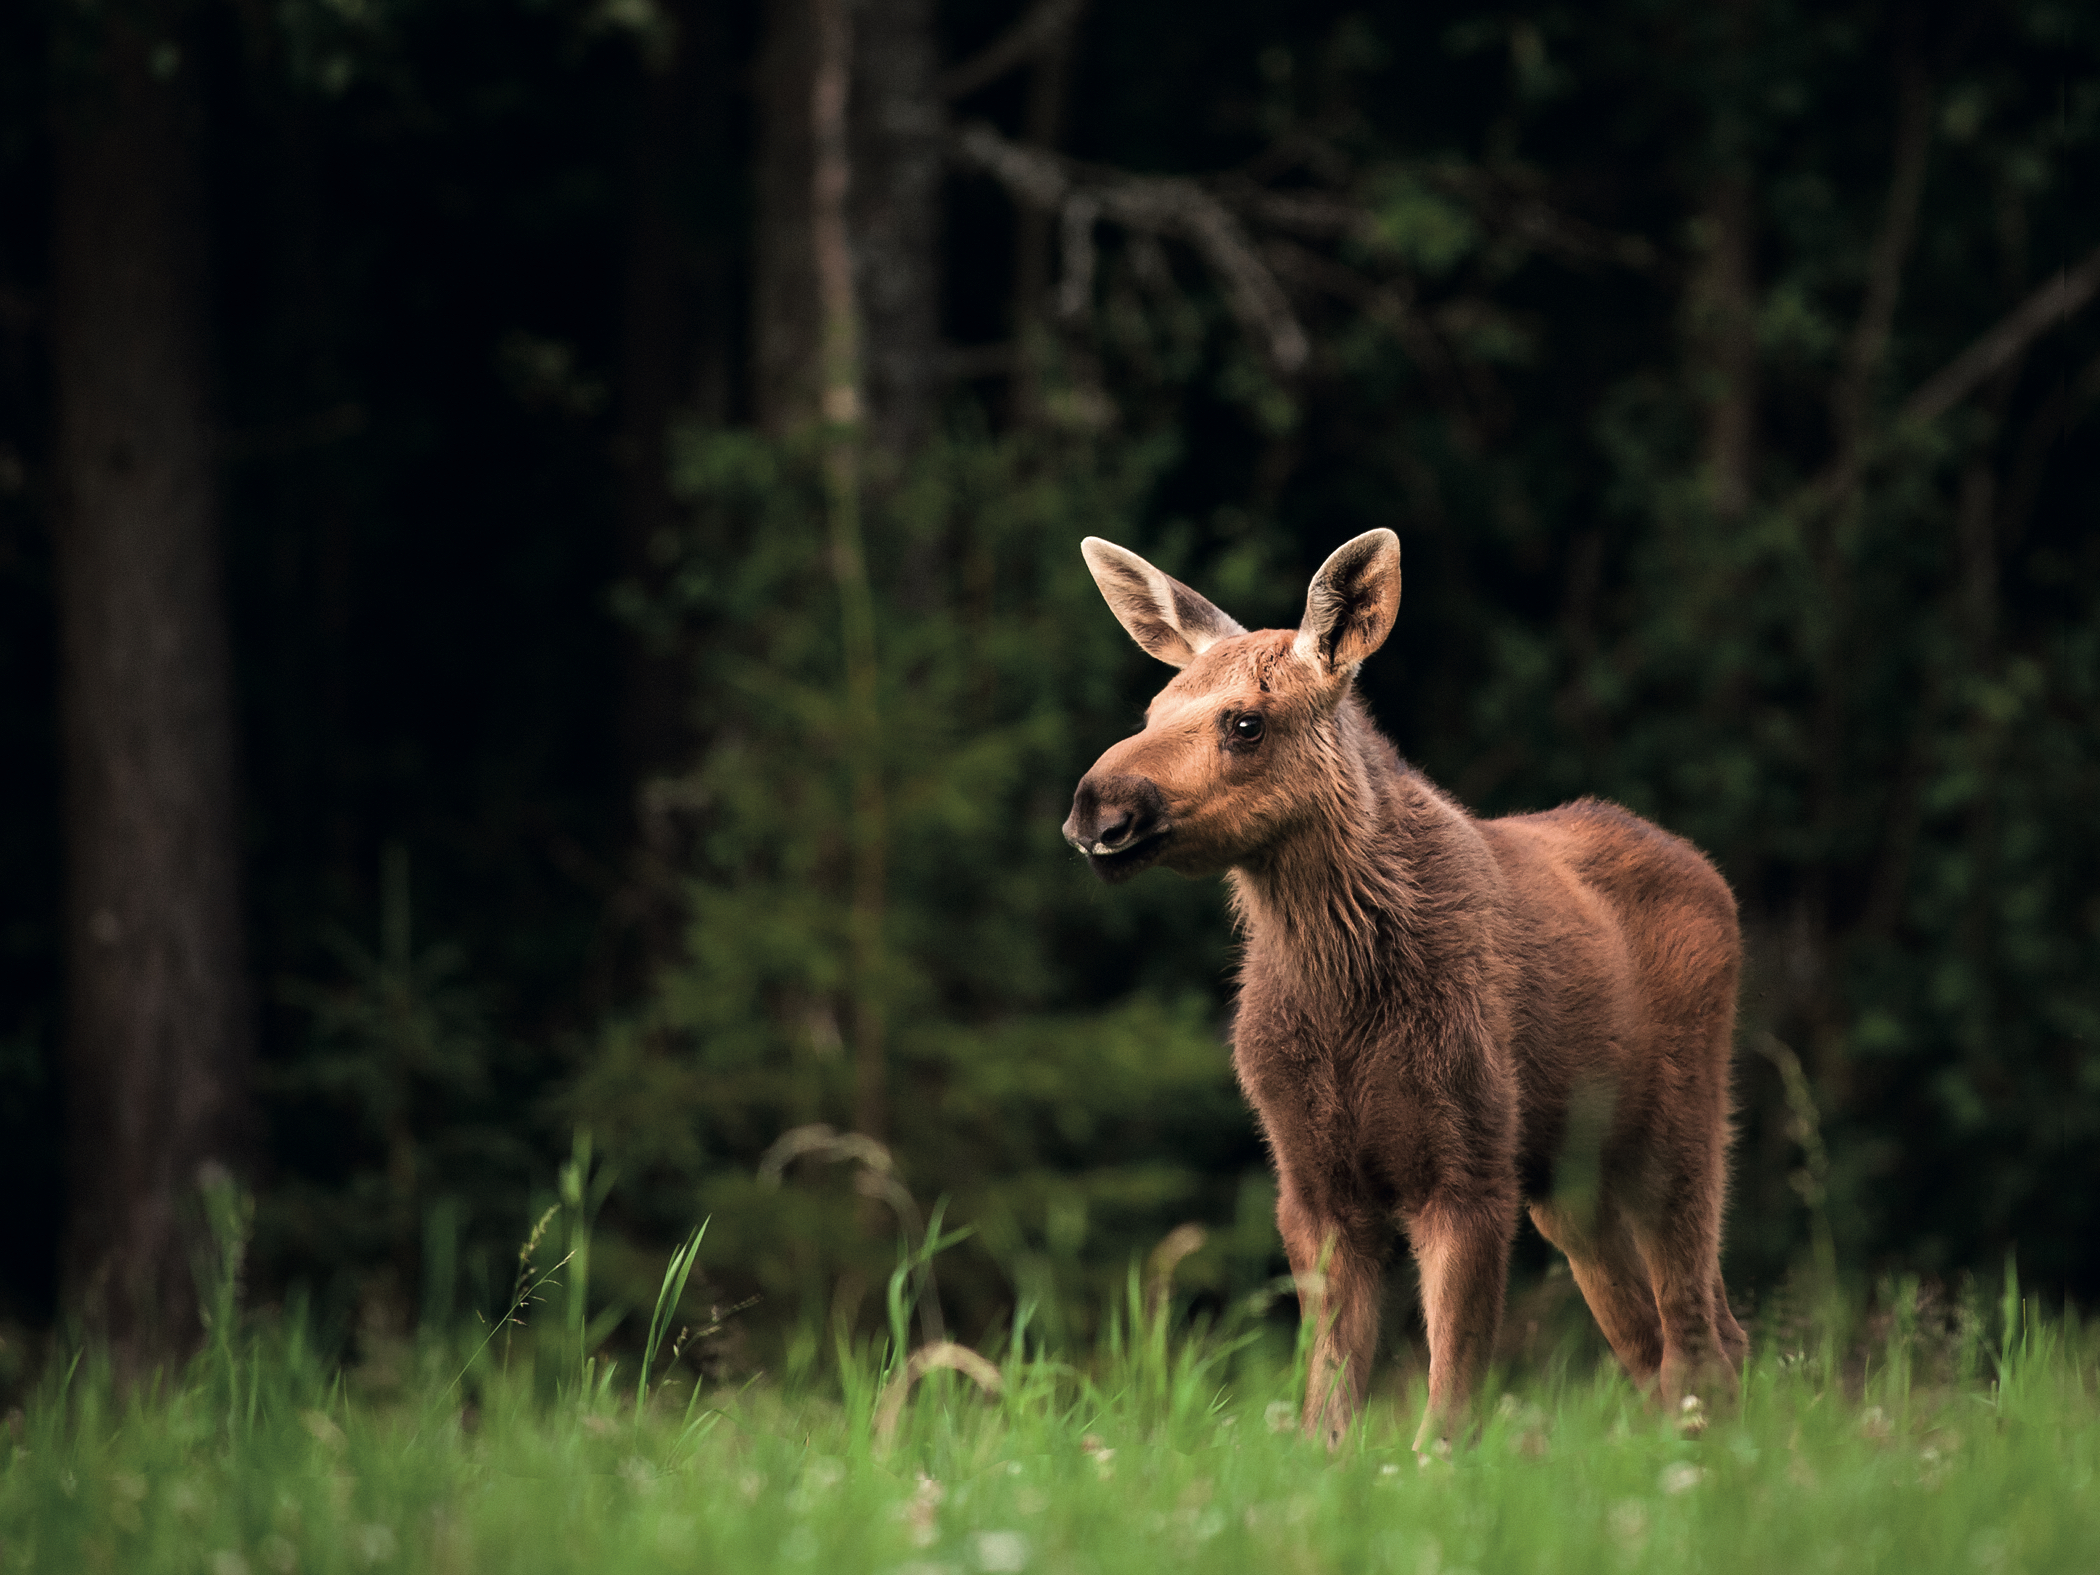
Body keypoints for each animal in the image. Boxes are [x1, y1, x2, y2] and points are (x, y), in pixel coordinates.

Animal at [1058, 531, 1747, 1453]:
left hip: (1680, 1122)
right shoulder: (1311, 1180)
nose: (1097, 809)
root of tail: (1711, 875)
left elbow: (1447, 1408)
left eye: (1246, 721)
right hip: (1571, 1180)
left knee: (1700, 1333)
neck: (1342, 997)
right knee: (1657, 1340)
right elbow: (1327, 1407)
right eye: (1152, 709)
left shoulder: (1469, 1166)